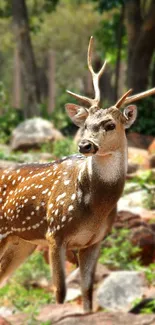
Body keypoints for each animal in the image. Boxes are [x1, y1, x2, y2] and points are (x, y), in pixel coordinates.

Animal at [0, 36, 155, 312]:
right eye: (85, 124)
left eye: (110, 124)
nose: (85, 145)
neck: (93, 209)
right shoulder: (54, 233)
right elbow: (60, 292)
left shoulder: (95, 241)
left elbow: (87, 292)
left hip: (21, 242)